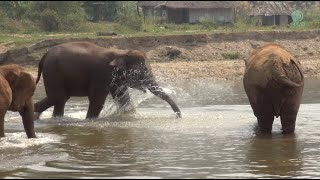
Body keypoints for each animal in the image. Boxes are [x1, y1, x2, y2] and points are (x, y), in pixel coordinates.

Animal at [33, 41, 181, 119]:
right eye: (142, 71)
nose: (179, 116)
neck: (121, 53)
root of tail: (45, 55)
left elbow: (123, 99)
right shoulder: (100, 74)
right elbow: (97, 101)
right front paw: (90, 120)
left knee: (59, 100)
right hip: (53, 73)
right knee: (58, 98)